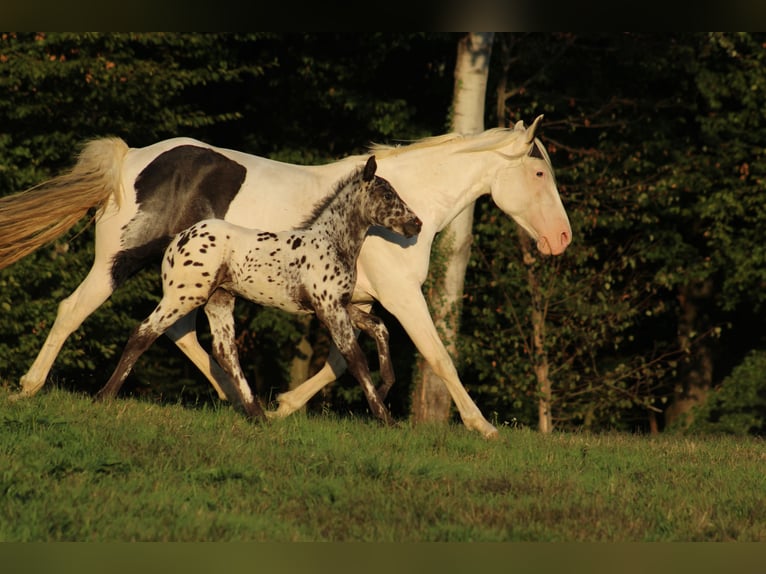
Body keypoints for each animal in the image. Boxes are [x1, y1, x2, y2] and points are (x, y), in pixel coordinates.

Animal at [94, 155, 422, 424]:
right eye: (388, 194)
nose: (416, 224)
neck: (331, 244)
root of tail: (177, 238)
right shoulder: (329, 309)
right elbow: (355, 358)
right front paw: (385, 416)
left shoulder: (341, 305)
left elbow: (379, 327)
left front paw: (386, 386)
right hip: (183, 296)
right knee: (144, 332)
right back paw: (104, 395)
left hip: (219, 300)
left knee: (225, 351)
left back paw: (257, 414)